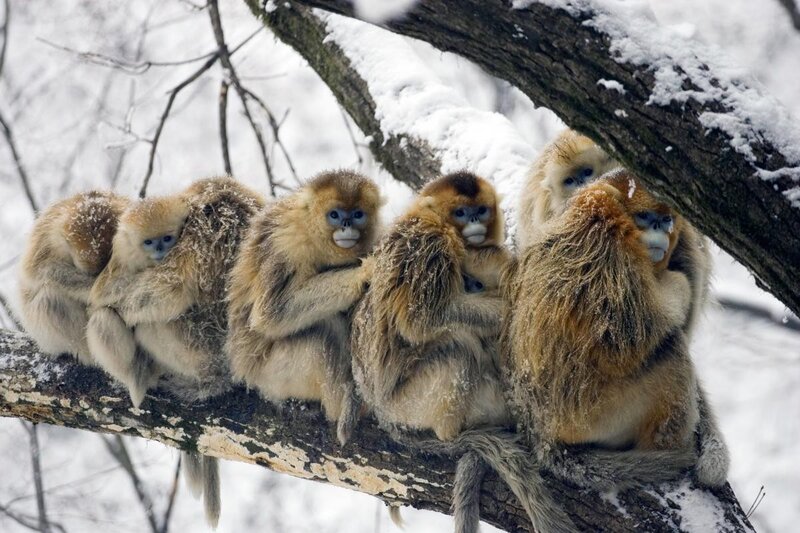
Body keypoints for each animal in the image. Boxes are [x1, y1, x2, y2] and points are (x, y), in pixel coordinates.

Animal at [87, 176, 265, 527]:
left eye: (169, 237)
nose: (159, 248)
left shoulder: (202, 230)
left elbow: (170, 290)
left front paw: (100, 293)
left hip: (195, 349)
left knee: (138, 319)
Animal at [226, 170, 381, 447]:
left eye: (357, 214)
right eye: (335, 215)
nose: (347, 225)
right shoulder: (287, 242)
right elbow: (270, 315)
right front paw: (363, 273)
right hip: (271, 374)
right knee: (323, 333)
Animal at [350, 172, 575, 533]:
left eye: (480, 210)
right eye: (460, 213)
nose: (473, 223)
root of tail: (383, 415)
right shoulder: (429, 243)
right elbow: (420, 319)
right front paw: (507, 310)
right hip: (409, 405)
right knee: (458, 348)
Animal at [502, 170, 729, 498]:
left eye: (666, 219)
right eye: (645, 217)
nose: (661, 232)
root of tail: (540, 430)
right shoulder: (605, 242)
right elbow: (625, 340)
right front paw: (679, 285)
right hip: (597, 417)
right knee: (670, 350)